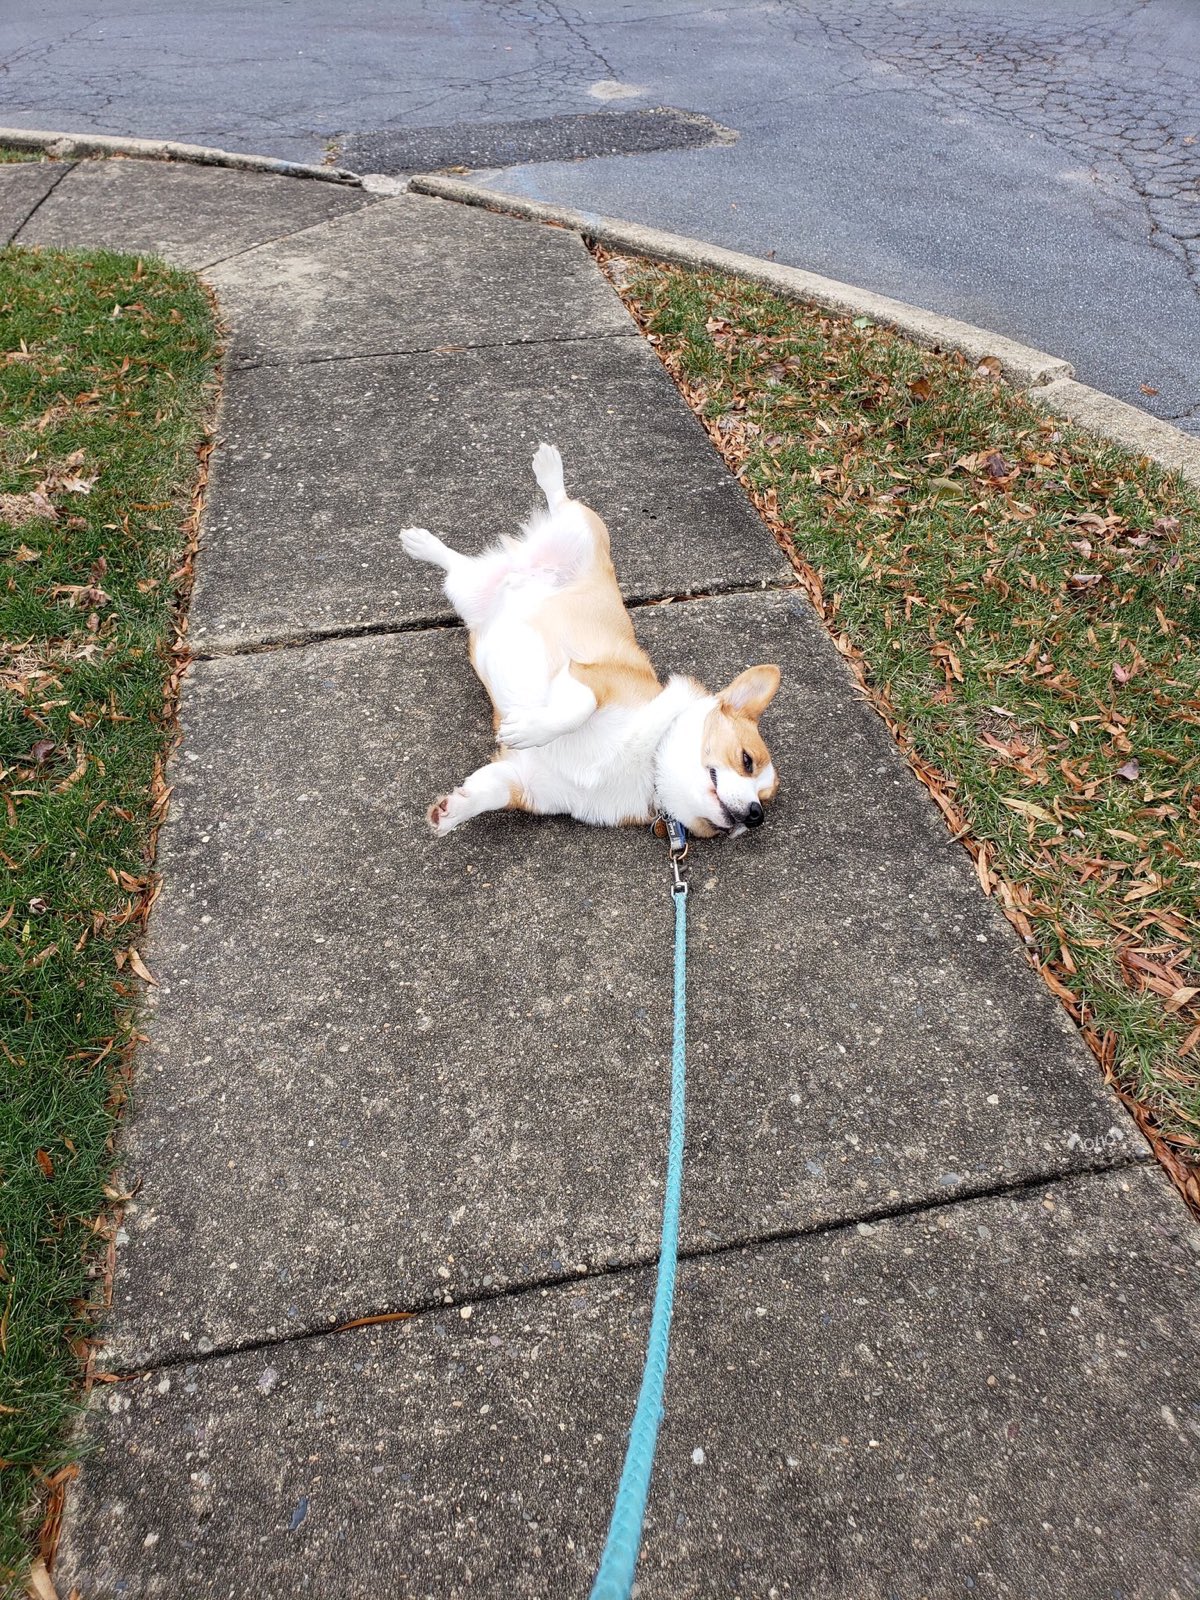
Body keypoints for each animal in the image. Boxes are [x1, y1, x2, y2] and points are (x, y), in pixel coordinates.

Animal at [400, 438, 784, 838]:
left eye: (765, 798)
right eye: (747, 760)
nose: (755, 815)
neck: (647, 763)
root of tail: (518, 567)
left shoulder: (525, 780)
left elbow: (488, 792)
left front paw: (450, 812)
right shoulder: (588, 678)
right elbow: (576, 709)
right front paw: (530, 728)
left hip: (465, 590)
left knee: (456, 564)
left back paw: (423, 544)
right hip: (583, 528)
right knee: (562, 501)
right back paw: (545, 470)